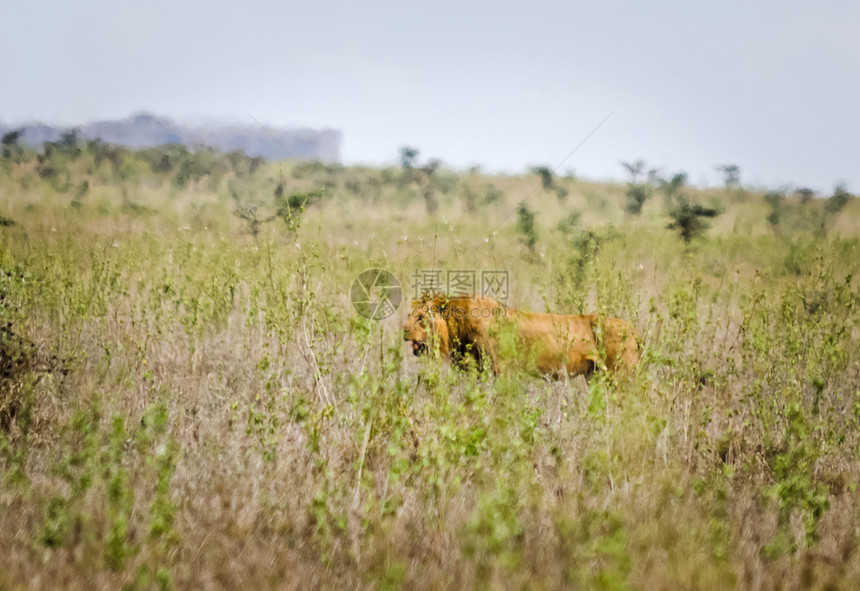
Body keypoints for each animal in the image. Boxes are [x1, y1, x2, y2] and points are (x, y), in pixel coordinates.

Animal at [402, 292, 640, 380]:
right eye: (409, 314)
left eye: (421, 317)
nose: (404, 330)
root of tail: (634, 330)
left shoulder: (499, 369)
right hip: (596, 376)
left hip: (620, 377)